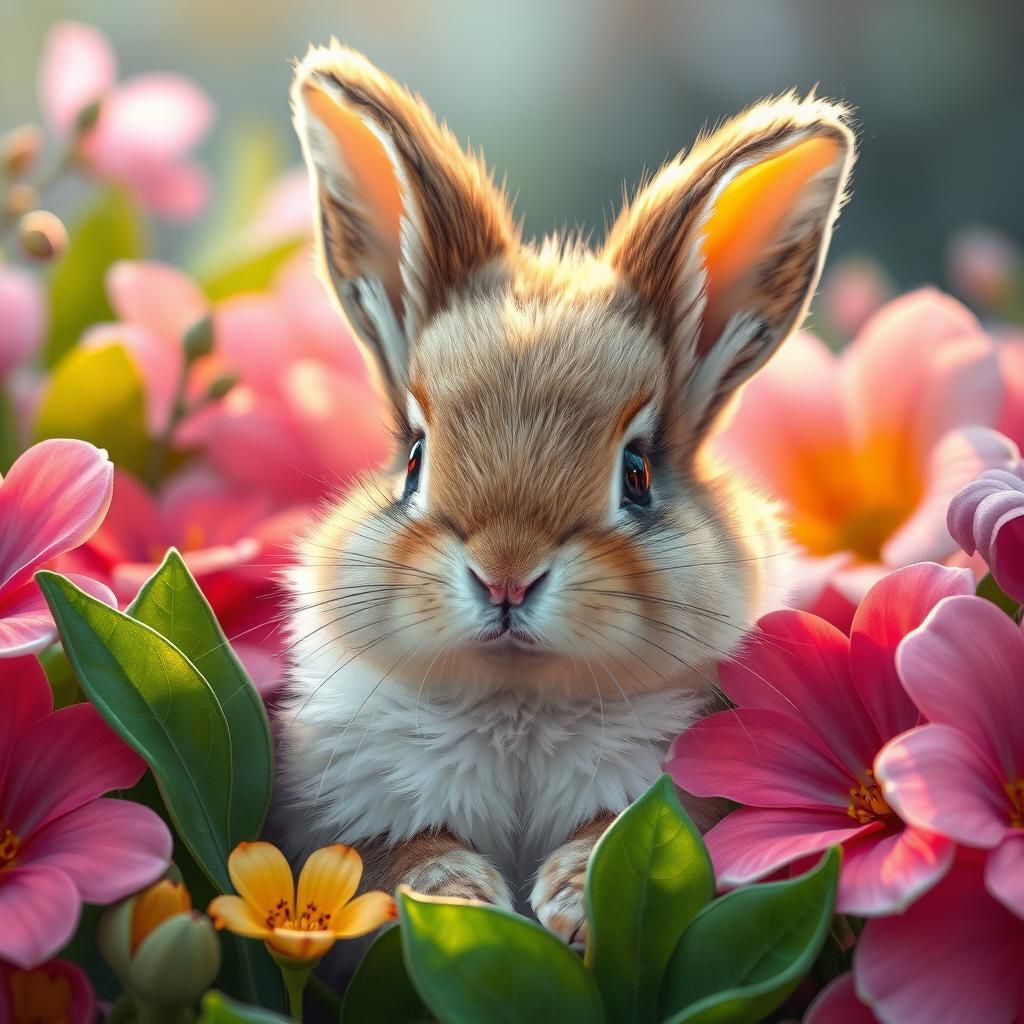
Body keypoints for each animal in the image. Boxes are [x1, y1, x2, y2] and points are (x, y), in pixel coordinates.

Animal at [276, 41, 855, 945]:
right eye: (415, 460)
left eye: (638, 473)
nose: (506, 577)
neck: (520, 701)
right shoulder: (347, 818)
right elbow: (402, 856)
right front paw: (462, 901)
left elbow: (606, 834)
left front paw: (574, 904)